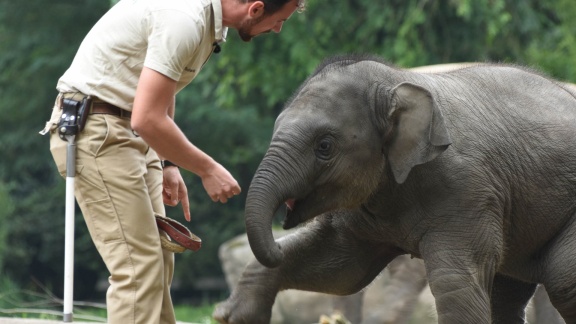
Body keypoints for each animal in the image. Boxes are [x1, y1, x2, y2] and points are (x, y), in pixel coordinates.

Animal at [212, 56, 576, 324]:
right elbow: (343, 269)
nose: (276, 242)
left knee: (562, 279)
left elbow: (454, 283)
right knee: (506, 293)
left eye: (324, 146)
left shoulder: (467, 191)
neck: (395, 81)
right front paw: (233, 316)